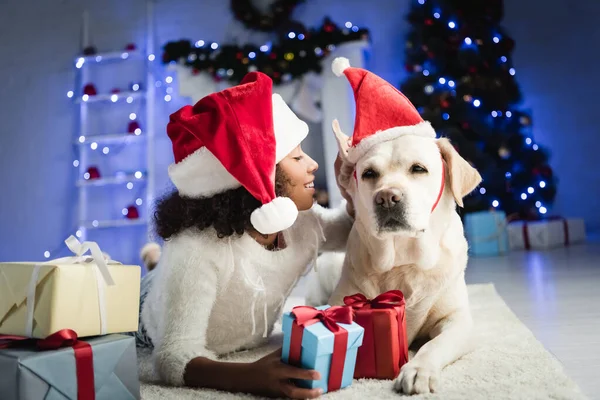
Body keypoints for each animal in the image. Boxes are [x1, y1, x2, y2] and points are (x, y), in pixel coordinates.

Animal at [310, 120, 482, 396]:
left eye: (418, 168)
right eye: (369, 173)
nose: (387, 198)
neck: (402, 262)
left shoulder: (458, 321)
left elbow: (433, 345)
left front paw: (419, 370)